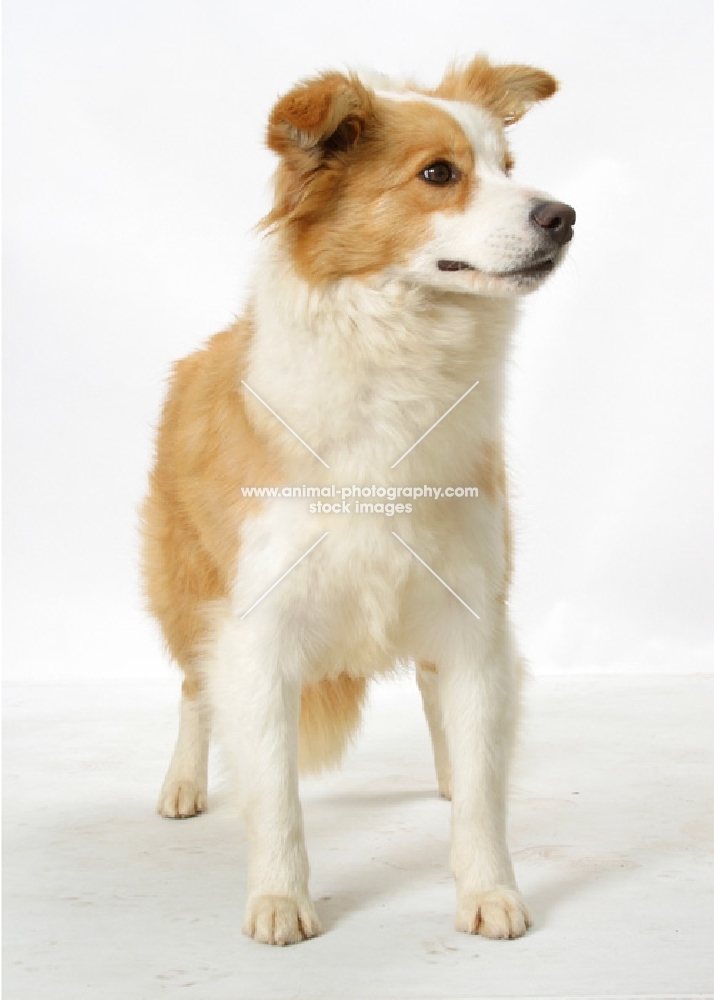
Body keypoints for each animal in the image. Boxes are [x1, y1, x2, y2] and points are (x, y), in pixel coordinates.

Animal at [143, 56, 572, 944]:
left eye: (509, 167)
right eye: (439, 174)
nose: (564, 216)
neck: (397, 363)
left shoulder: (473, 614)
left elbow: (484, 783)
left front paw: (488, 890)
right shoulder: (259, 628)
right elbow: (276, 791)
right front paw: (280, 900)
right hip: (187, 592)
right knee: (194, 690)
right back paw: (182, 785)